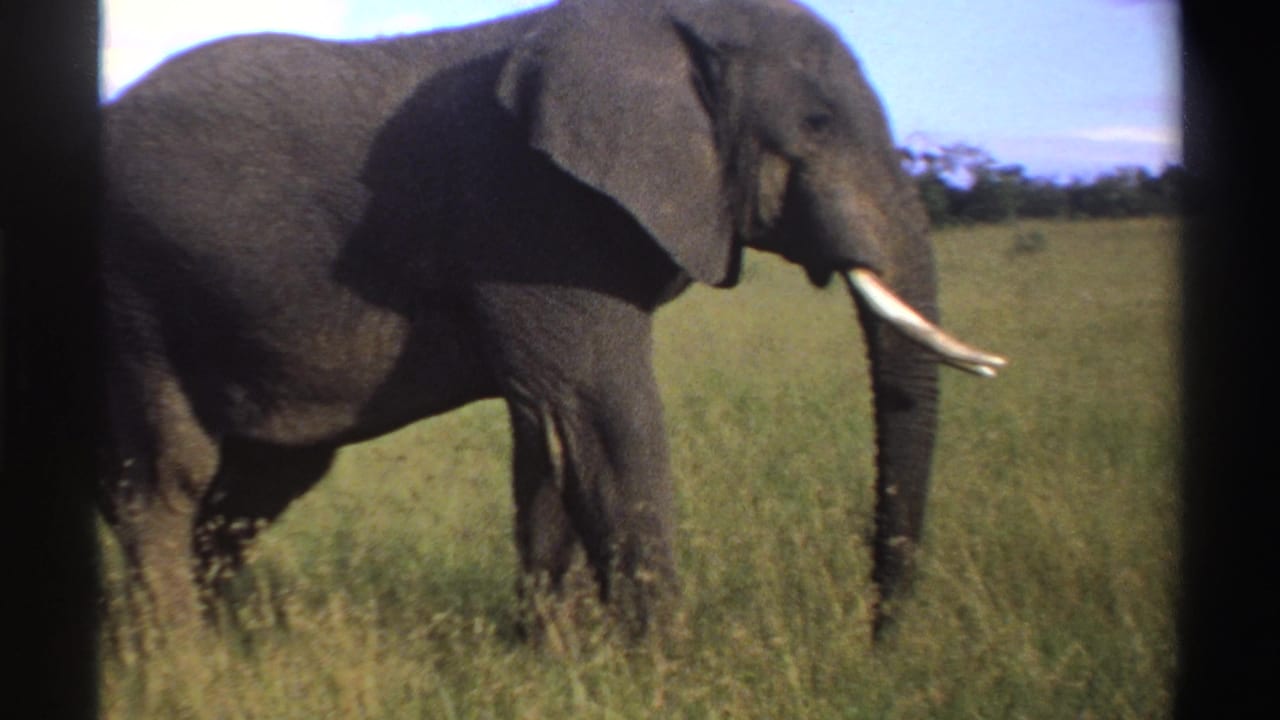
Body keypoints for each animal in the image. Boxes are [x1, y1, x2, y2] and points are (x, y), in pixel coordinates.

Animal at [99, 0, 1005, 639]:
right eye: (816, 125)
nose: (877, 641)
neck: (661, 23)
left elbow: (552, 439)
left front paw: (553, 660)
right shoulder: (537, 214)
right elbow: (605, 418)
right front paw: (668, 671)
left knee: (259, 481)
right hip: (133, 286)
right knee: (167, 476)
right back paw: (184, 663)